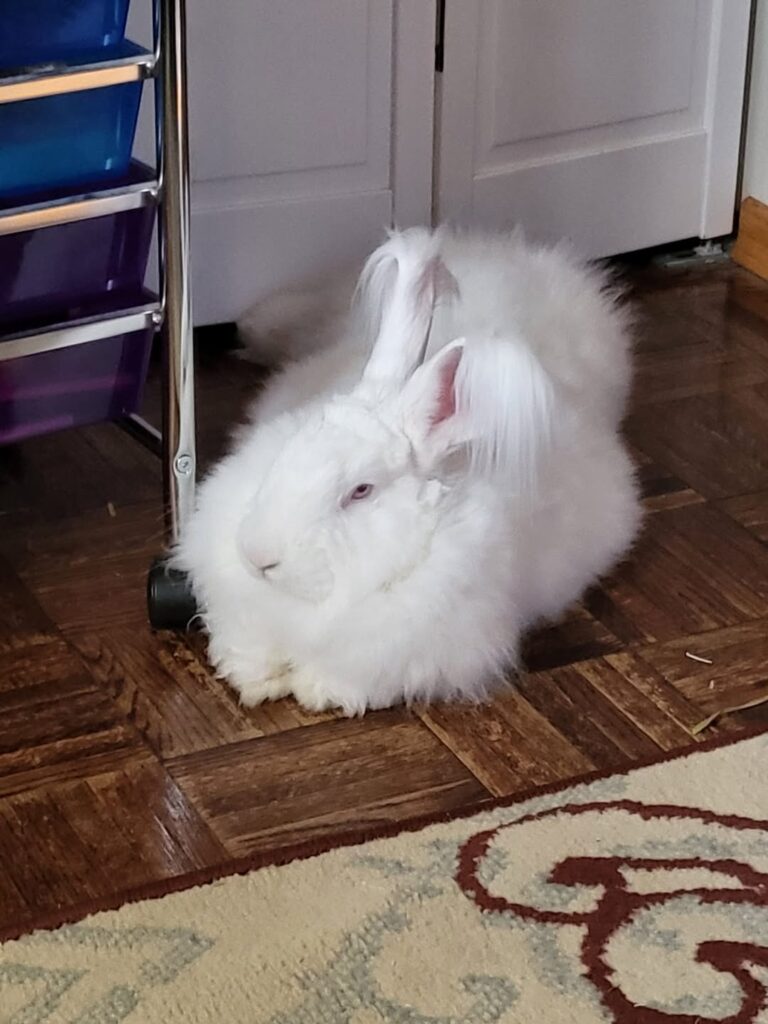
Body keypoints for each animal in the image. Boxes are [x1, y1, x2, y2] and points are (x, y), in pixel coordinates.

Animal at [174, 227, 641, 716]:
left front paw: (312, 688)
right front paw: (253, 677)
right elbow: (242, 640)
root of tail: (513, 252)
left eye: (361, 491)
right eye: (292, 447)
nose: (258, 557)